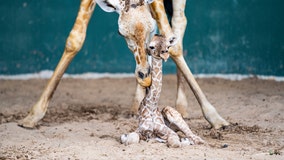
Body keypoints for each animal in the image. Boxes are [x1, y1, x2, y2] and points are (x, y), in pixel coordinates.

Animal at [17, 0, 230, 129]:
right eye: (120, 33)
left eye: (150, 29)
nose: (145, 76)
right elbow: (74, 40)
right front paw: (32, 116)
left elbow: (172, 42)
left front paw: (215, 118)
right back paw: (137, 103)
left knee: (179, 23)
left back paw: (181, 105)